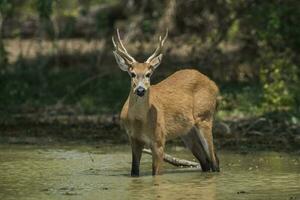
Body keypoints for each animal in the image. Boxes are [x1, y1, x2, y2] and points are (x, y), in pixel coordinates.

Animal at [111, 28, 219, 176]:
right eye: (132, 74)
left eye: (148, 74)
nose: (140, 90)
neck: (139, 121)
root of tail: (213, 84)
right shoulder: (133, 139)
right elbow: (134, 171)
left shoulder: (159, 139)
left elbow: (156, 173)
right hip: (187, 131)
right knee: (206, 162)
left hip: (205, 117)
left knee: (214, 160)